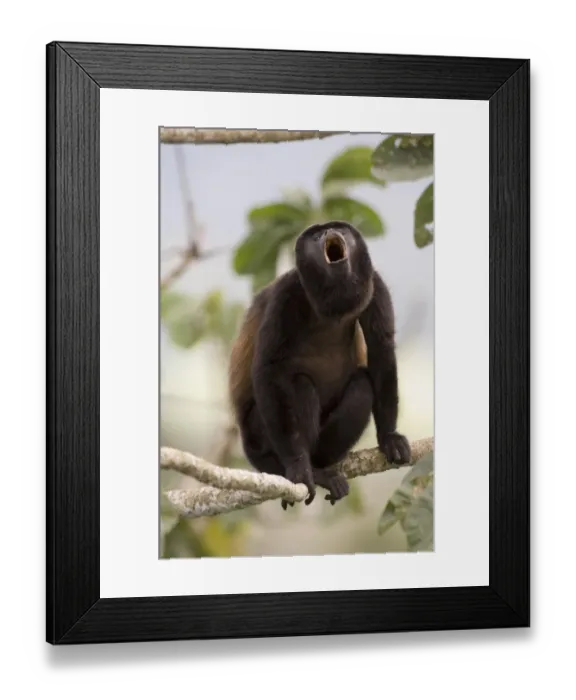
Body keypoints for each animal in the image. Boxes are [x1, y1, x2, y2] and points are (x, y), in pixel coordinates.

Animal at [228, 220, 411, 510]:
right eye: (315, 236)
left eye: (341, 229)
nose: (327, 233)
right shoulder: (287, 294)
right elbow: (268, 369)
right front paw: (298, 468)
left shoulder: (374, 285)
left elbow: (381, 351)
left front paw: (389, 437)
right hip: (258, 435)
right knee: (299, 385)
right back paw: (311, 471)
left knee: (362, 385)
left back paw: (323, 467)